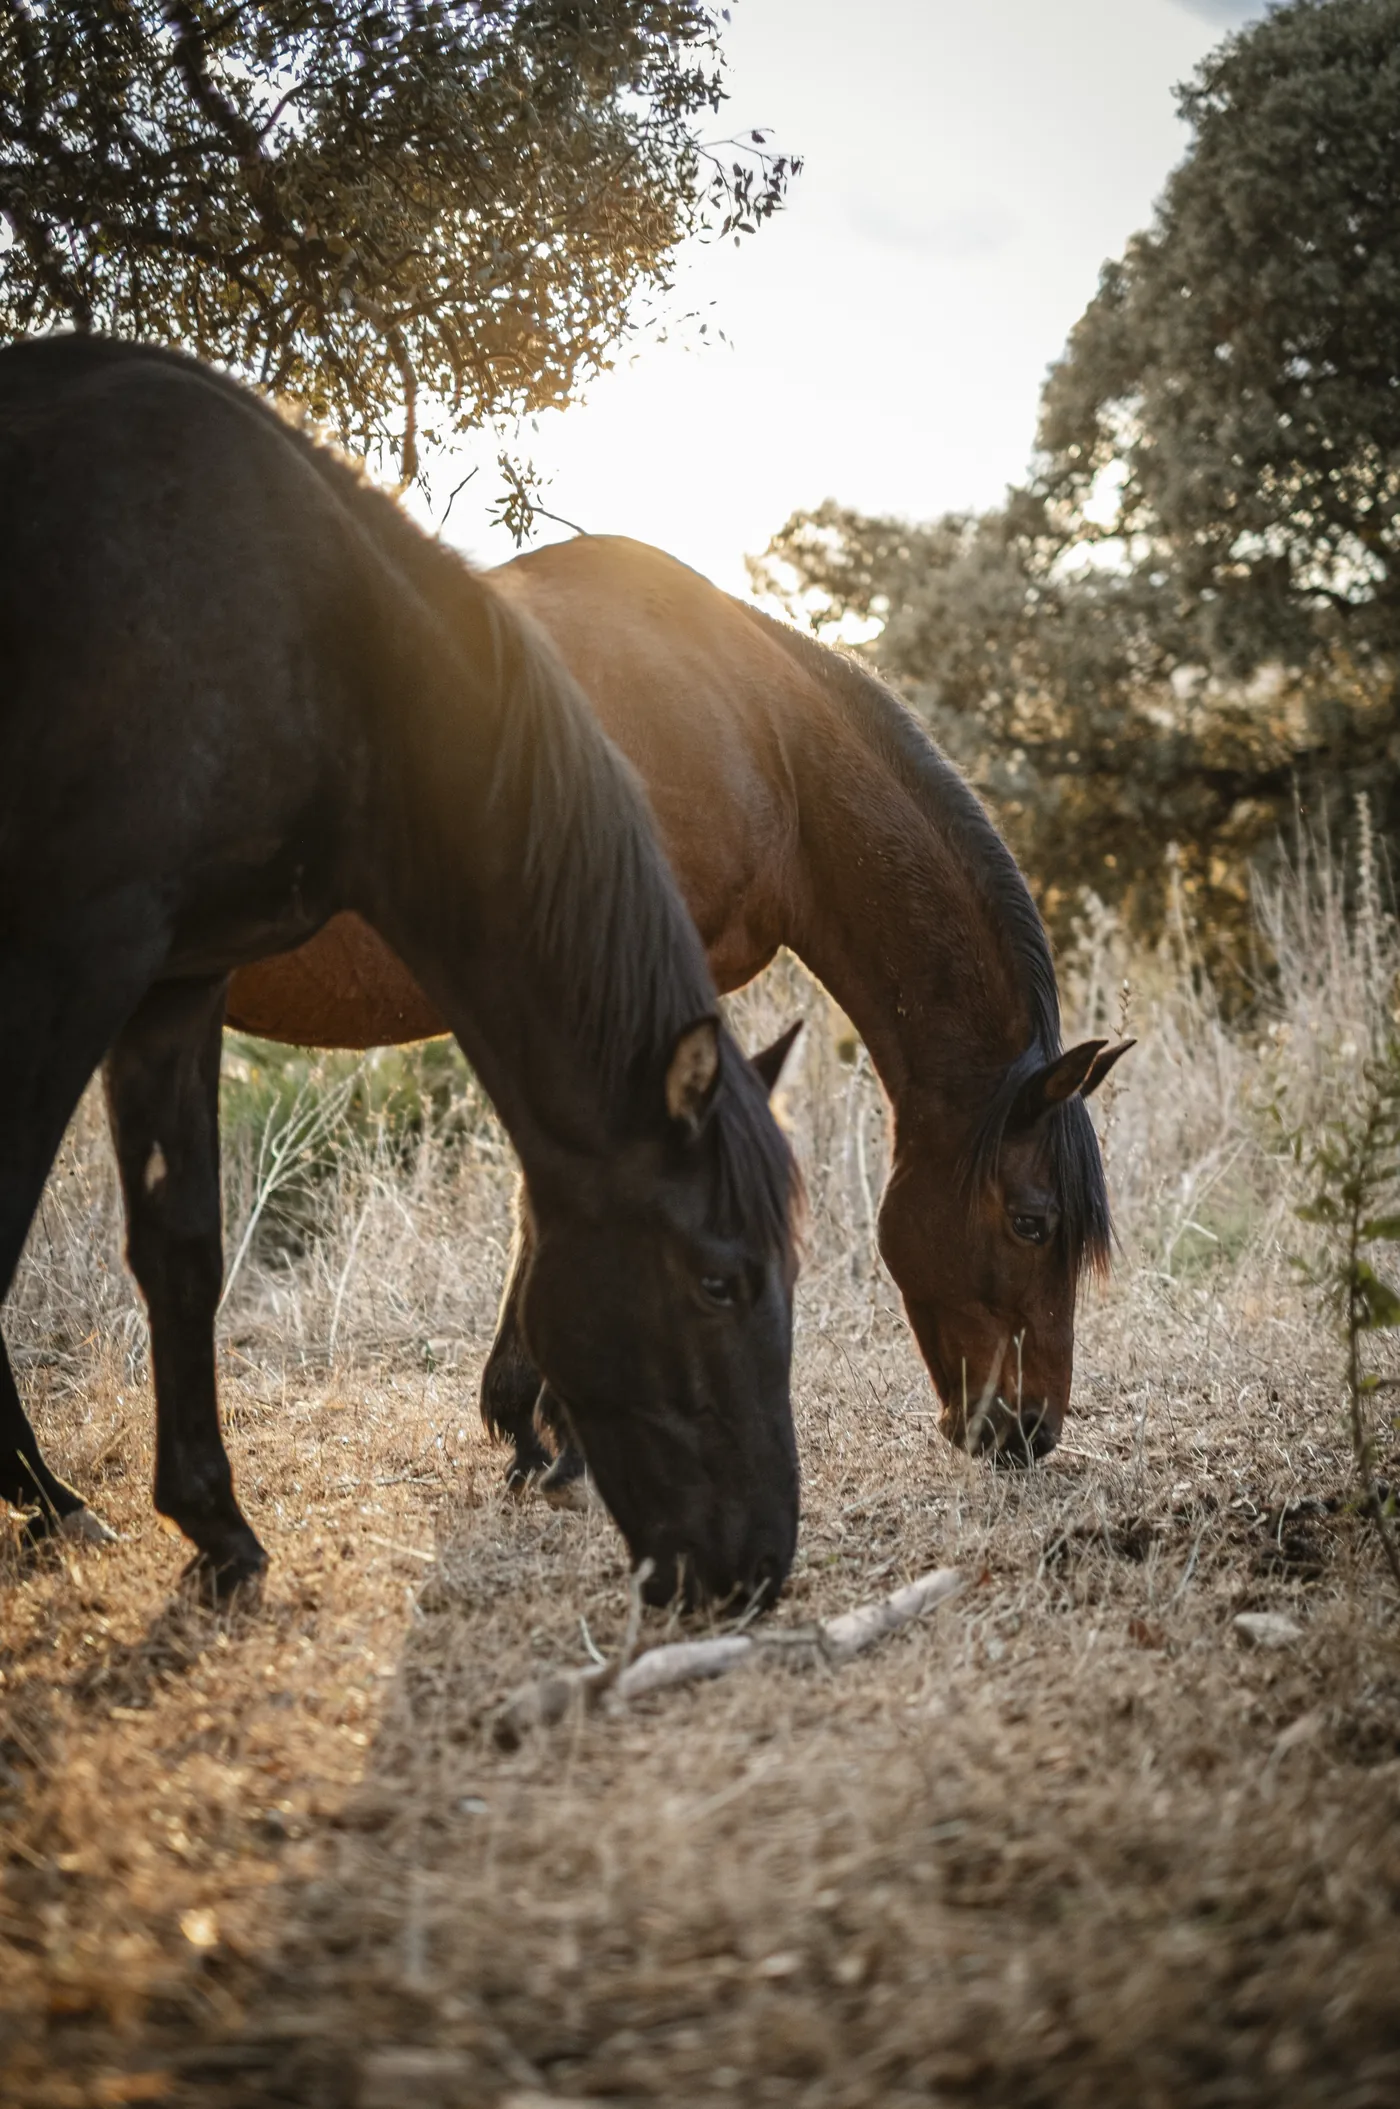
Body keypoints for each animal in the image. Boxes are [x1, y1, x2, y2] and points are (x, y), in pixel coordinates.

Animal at [0, 346, 801, 1610]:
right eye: (718, 1282)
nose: (759, 1570)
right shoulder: (68, 955)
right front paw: (59, 1500)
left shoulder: (177, 979)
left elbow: (182, 1251)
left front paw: (215, 1529)